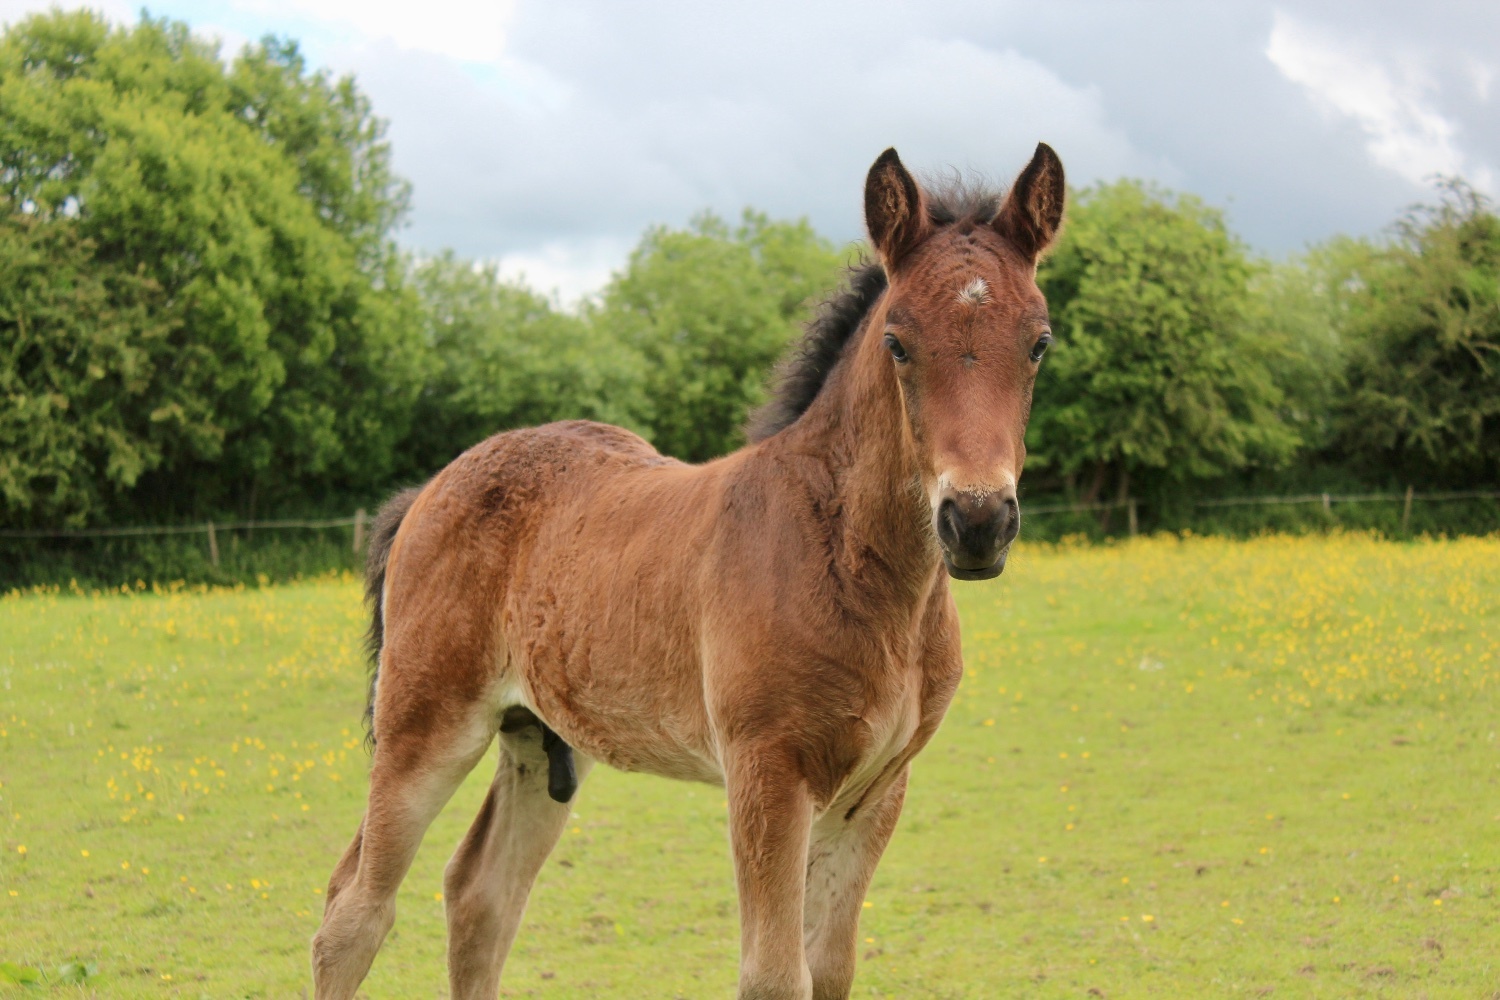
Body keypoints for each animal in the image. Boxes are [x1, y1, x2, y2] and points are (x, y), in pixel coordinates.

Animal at [311, 142, 1065, 1000]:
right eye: (898, 342)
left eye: (1039, 342)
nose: (977, 522)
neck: (852, 568)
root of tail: (431, 489)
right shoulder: (768, 773)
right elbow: (774, 975)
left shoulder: (876, 791)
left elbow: (829, 970)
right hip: (424, 724)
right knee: (354, 911)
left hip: (538, 740)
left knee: (481, 896)